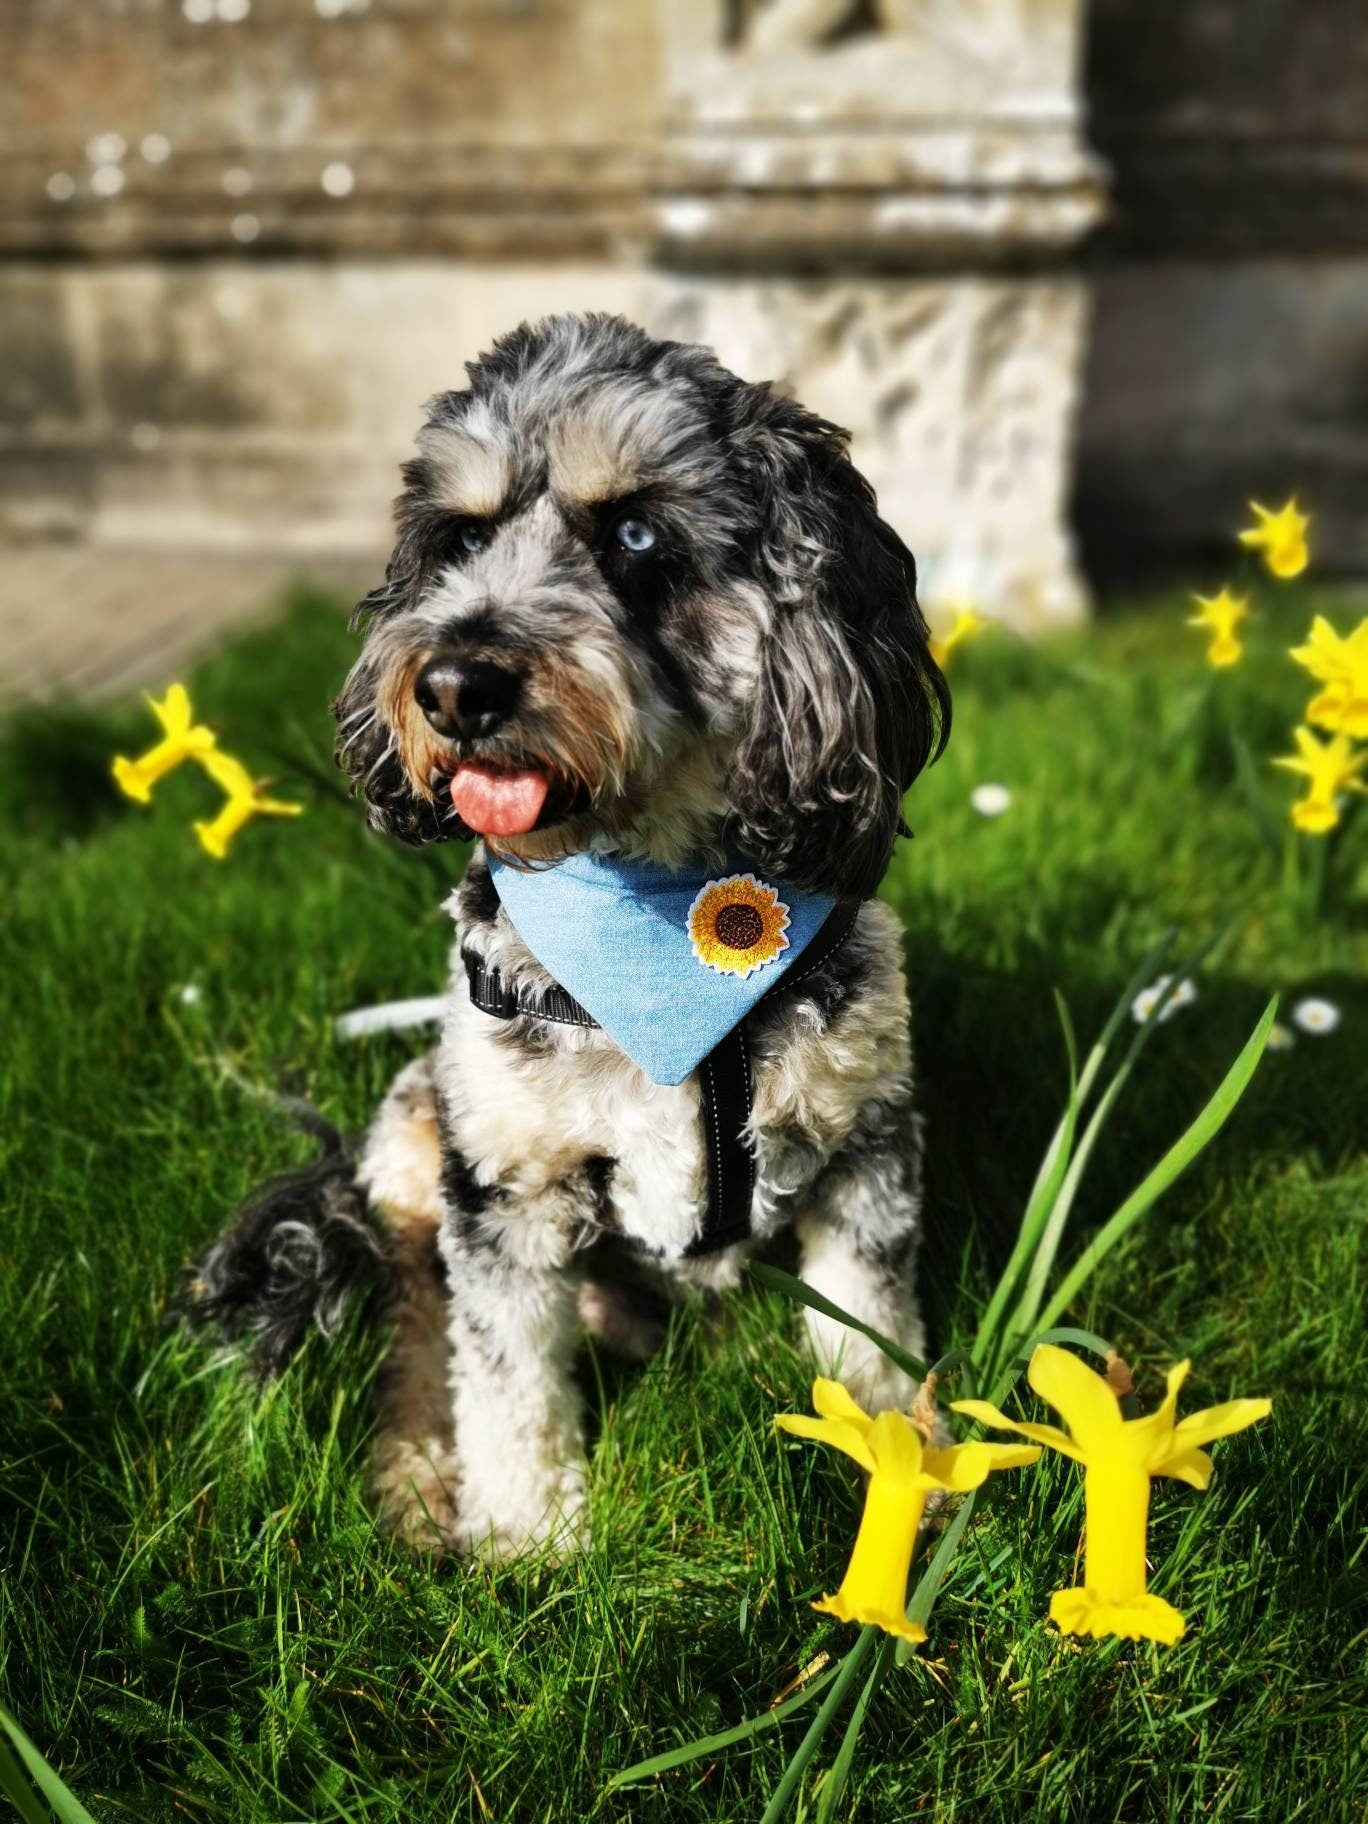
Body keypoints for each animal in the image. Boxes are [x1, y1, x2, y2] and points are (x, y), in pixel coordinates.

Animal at [195, 313, 955, 1554]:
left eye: (635, 530)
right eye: (460, 537)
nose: (454, 685)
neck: (650, 916)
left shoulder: (865, 1139)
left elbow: (870, 1324)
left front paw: (903, 1470)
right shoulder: (505, 1191)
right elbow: (505, 1381)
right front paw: (530, 1541)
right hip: (423, 1151)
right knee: (421, 1333)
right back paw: (418, 1483)